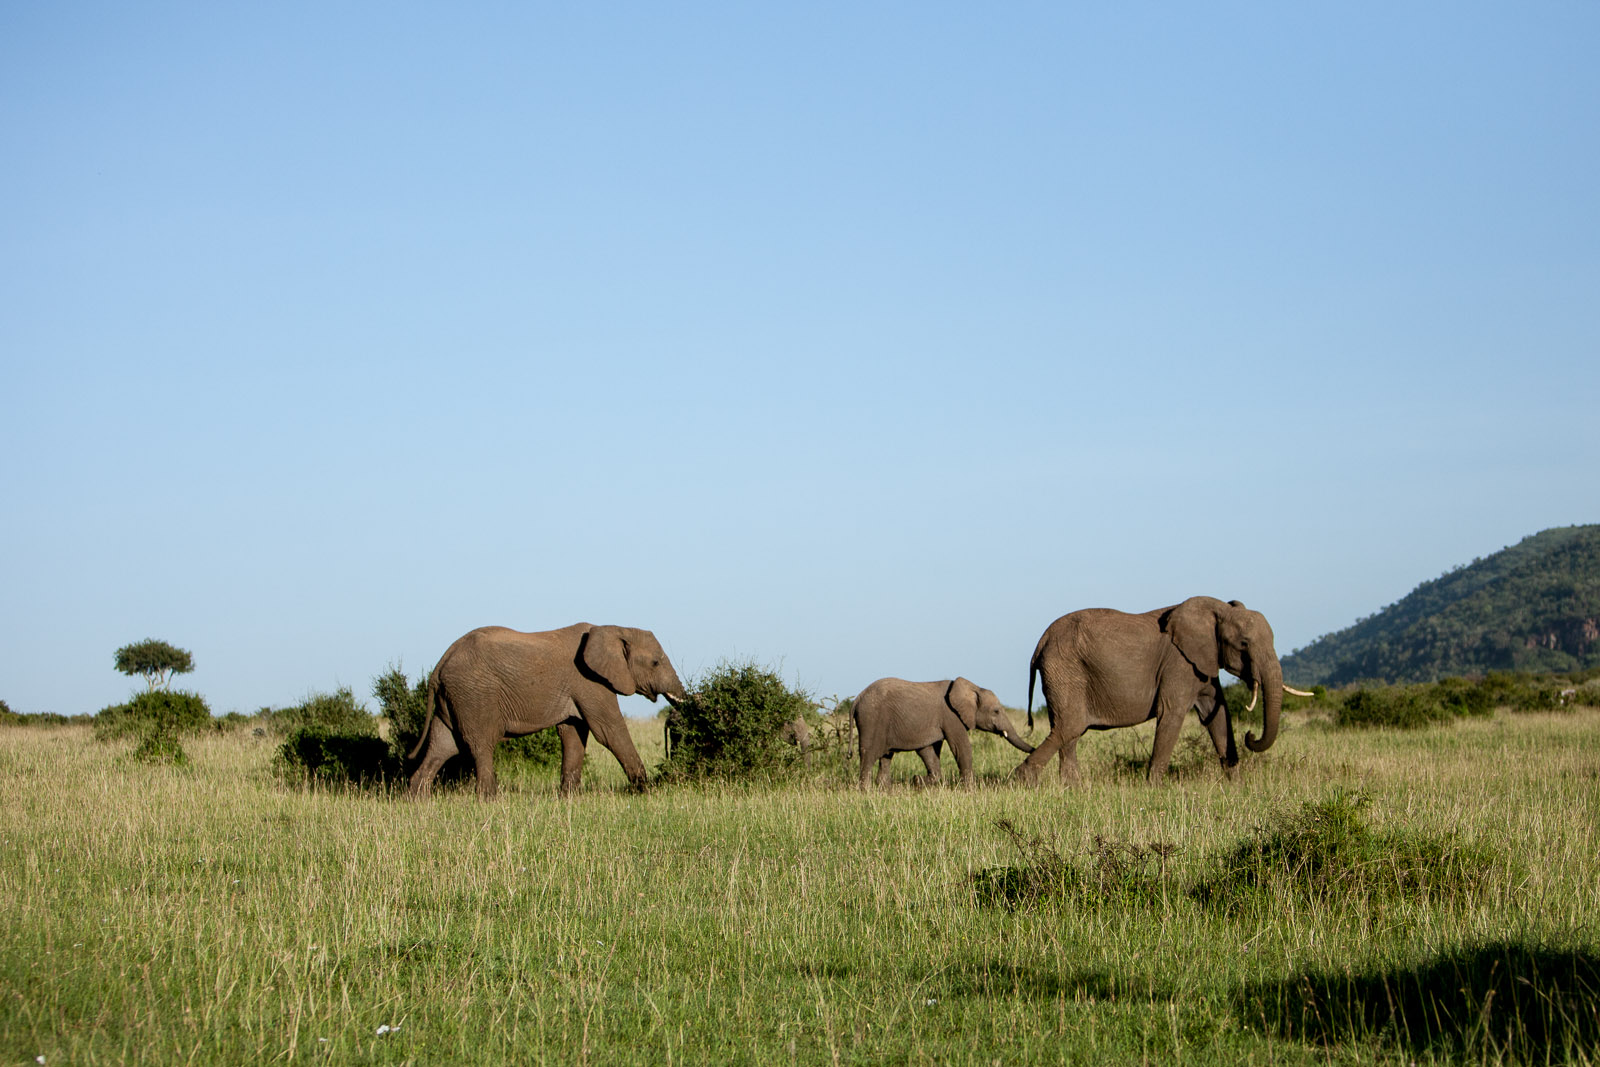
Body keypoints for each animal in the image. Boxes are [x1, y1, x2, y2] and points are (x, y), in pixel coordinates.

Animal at [406, 620, 681, 796]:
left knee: (442, 745)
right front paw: (644, 791)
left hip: (454, 698)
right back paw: (490, 799)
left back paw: (418, 799)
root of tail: (440, 664)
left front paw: (569, 798)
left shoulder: (579, 687)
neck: (614, 628)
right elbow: (608, 731)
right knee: (480, 744)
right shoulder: (589, 681)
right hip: (474, 694)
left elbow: (573, 734)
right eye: (655, 663)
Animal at [851, 681, 1036, 790]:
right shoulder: (951, 716)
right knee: (869, 754)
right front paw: (970, 790)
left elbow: (928, 751)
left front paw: (918, 781)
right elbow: (961, 747)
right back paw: (865, 791)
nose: (1034, 748)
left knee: (886, 756)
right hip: (871, 719)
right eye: (996, 711)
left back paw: (884, 789)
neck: (972, 687)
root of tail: (857, 699)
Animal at [1011, 598, 1312, 790]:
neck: (1218, 610)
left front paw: (1238, 787)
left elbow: (1217, 716)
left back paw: (1073, 790)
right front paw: (1154, 789)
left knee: (1069, 731)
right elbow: (1173, 713)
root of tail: (1040, 643)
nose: (1251, 735)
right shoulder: (1179, 663)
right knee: (1071, 725)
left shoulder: (1202, 663)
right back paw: (1023, 782)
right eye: (1244, 644)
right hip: (1065, 669)